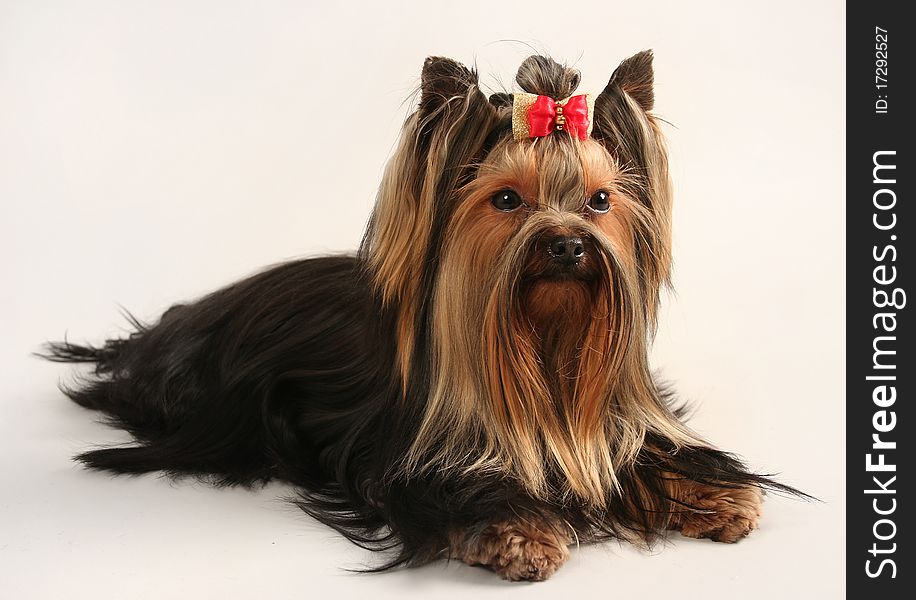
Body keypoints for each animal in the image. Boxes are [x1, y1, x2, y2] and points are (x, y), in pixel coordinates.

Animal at [44, 51, 800, 580]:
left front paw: (716, 496)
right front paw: (521, 533)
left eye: (600, 201)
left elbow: (646, 452)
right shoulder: (413, 463)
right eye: (507, 200)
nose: (567, 245)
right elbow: (474, 491)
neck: (544, 344)